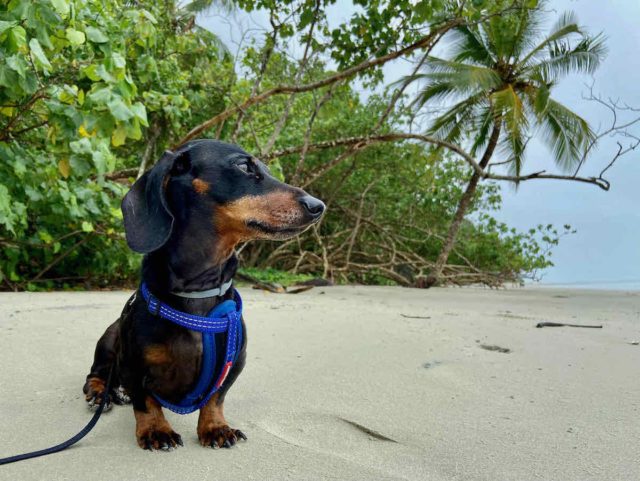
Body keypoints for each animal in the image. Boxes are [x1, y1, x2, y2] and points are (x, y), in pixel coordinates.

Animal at [82, 140, 324, 450]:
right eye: (244, 166)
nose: (318, 206)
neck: (199, 289)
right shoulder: (134, 364)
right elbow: (145, 401)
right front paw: (156, 430)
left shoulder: (235, 361)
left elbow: (216, 398)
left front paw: (215, 427)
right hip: (109, 341)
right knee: (96, 374)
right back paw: (102, 393)